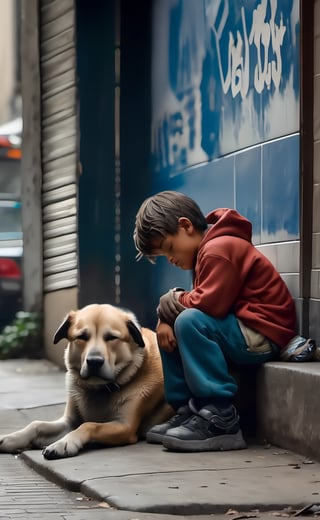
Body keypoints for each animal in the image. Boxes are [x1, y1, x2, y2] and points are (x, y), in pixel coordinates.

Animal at [0, 304, 172, 460]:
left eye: (111, 337)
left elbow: (89, 424)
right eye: (81, 337)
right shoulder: (69, 421)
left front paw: (63, 443)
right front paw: (12, 438)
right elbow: (36, 424)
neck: (100, 389)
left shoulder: (125, 427)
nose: (94, 361)